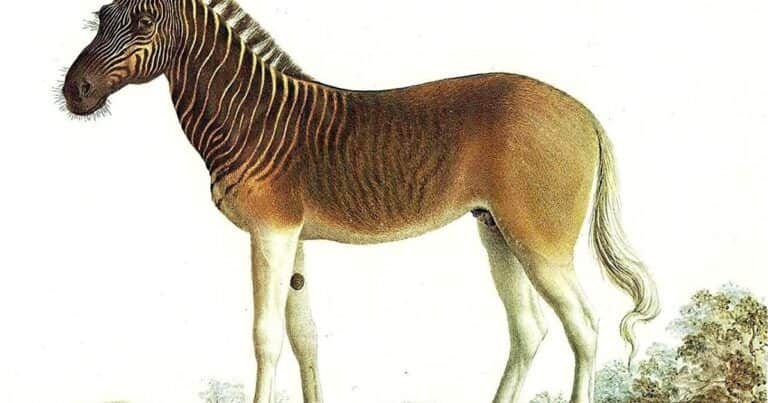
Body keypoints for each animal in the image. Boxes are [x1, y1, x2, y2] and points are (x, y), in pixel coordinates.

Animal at [62, 1, 660, 402]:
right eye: (100, 15)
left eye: (142, 23)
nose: (73, 91)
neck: (252, 117)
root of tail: (582, 111)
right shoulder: (293, 238)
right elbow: (304, 338)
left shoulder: (270, 234)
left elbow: (266, 337)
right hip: (496, 231)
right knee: (529, 330)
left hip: (540, 242)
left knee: (583, 326)